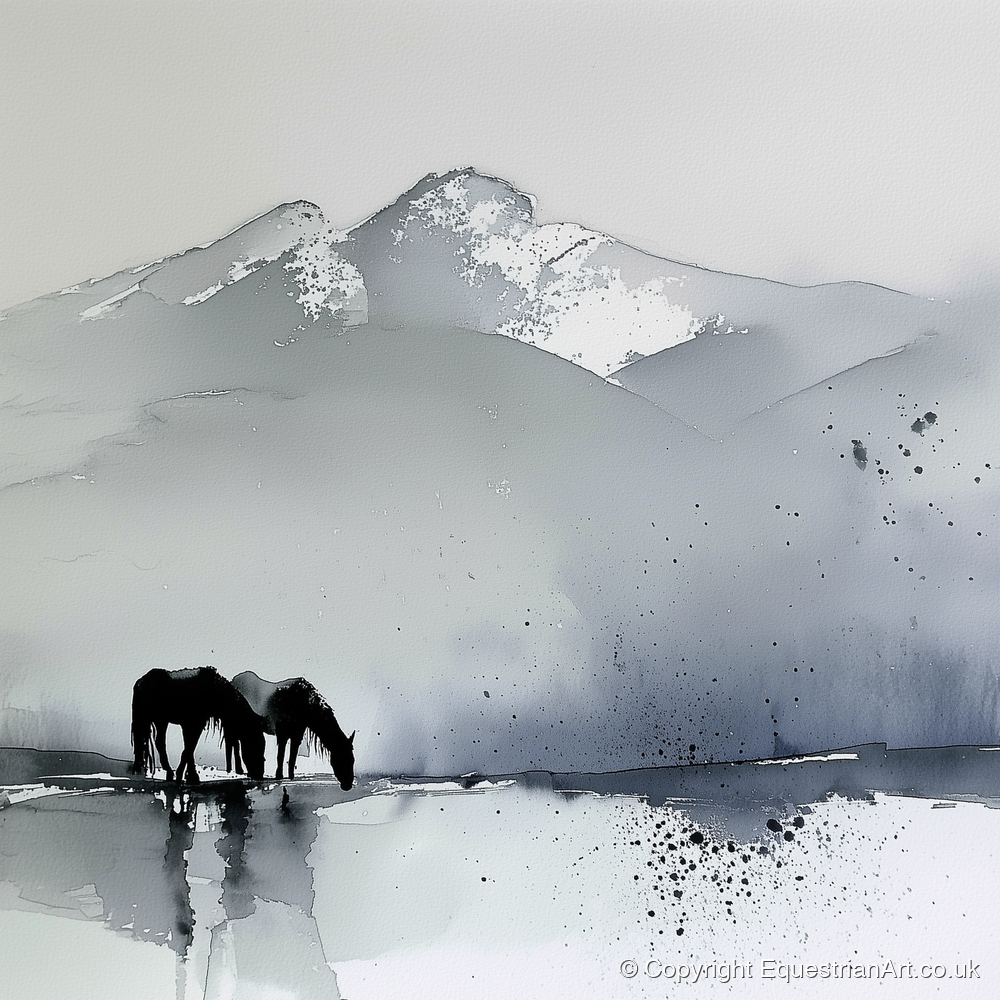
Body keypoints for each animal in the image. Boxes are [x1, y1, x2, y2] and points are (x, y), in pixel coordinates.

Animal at [130, 666, 267, 783]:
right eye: (256, 744)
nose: (259, 774)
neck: (214, 691)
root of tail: (141, 681)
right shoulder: (194, 724)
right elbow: (189, 748)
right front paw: (189, 776)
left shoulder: (191, 724)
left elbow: (189, 748)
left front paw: (187, 775)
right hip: (154, 719)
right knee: (158, 743)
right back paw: (168, 772)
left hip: (161, 720)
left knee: (159, 742)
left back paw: (169, 773)